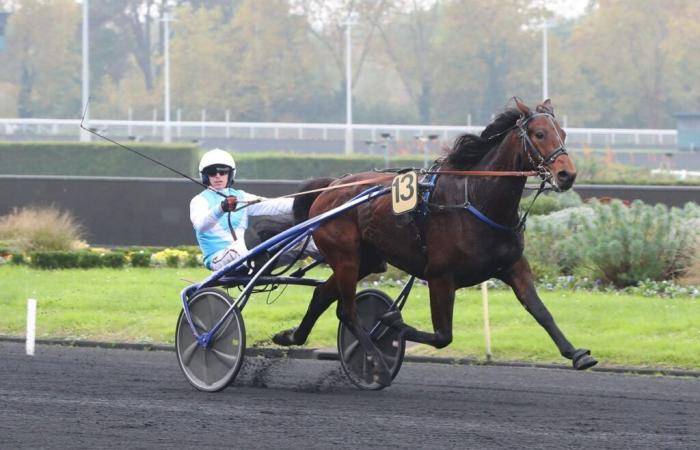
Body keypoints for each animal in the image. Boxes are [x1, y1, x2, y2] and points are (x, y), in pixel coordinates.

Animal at [272, 98, 596, 386]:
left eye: (563, 133)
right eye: (539, 134)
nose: (567, 174)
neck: (477, 200)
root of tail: (332, 186)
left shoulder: (514, 266)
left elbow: (541, 312)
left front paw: (577, 354)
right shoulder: (440, 276)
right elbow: (443, 336)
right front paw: (392, 324)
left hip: (366, 260)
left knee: (322, 295)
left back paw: (291, 336)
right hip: (345, 257)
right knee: (347, 311)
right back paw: (377, 362)